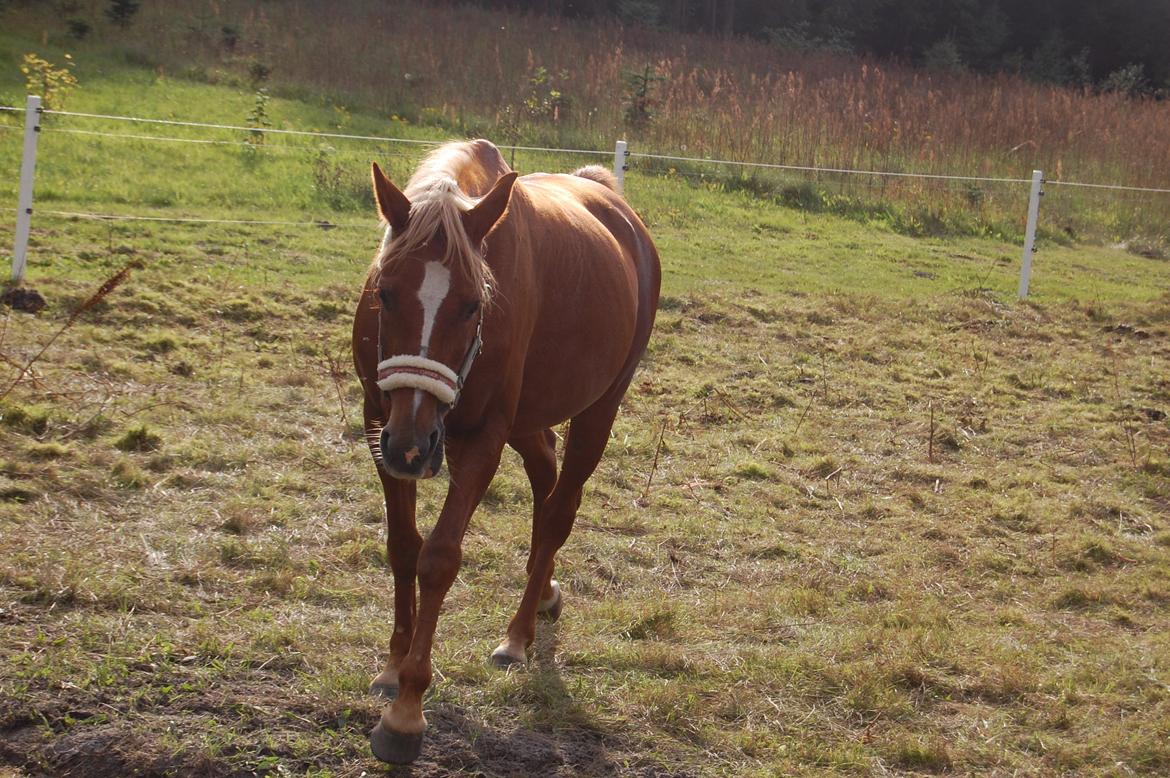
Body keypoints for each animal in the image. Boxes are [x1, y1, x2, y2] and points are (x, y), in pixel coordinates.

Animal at [348, 138, 659, 758]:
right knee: (545, 480)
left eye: (474, 304)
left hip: (598, 410)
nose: (414, 443)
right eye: (385, 292)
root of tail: (612, 201)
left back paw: (519, 634)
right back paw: (544, 595)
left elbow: (439, 558)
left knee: (560, 509)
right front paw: (392, 669)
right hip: (523, 422)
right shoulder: (379, 424)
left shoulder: (483, 440)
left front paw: (406, 712)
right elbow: (402, 546)